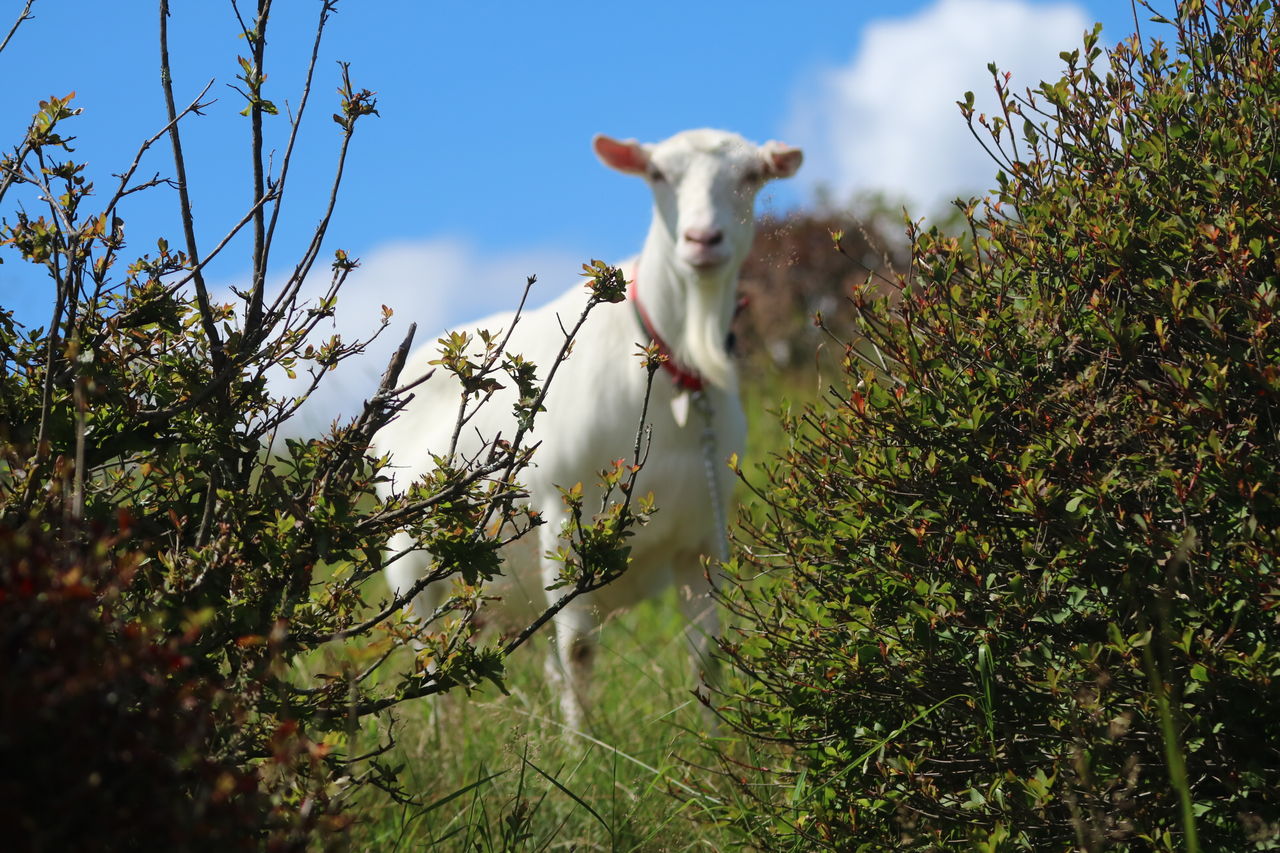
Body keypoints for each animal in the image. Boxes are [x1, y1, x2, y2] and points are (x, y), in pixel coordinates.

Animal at [373, 129, 802, 728]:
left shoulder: (703, 534)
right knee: (430, 657)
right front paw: (584, 746)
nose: (702, 238)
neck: (676, 368)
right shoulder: (563, 516)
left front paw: (716, 743)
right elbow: (578, 652)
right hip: (411, 564)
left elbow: (706, 654)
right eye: (657, 176)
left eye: (751, 176)